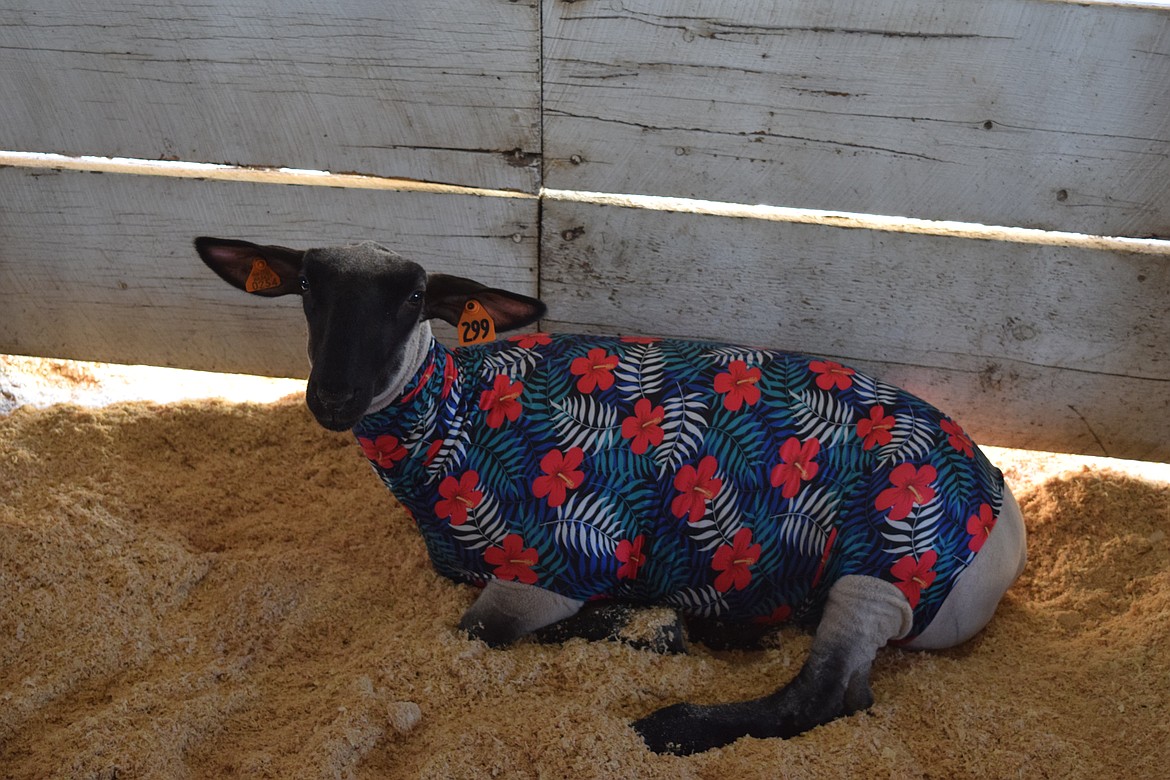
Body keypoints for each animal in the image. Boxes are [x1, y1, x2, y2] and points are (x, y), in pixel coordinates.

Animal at [194, 238, 1024, 757]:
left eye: (418, 298)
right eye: (307, 288)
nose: (332, 397)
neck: (452, 422)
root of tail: (1009, 521)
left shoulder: (562, 557)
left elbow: (479, 632)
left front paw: (653, 632)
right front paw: (659, 628)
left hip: (887, 561)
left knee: (828, 698)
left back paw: (672, 726)